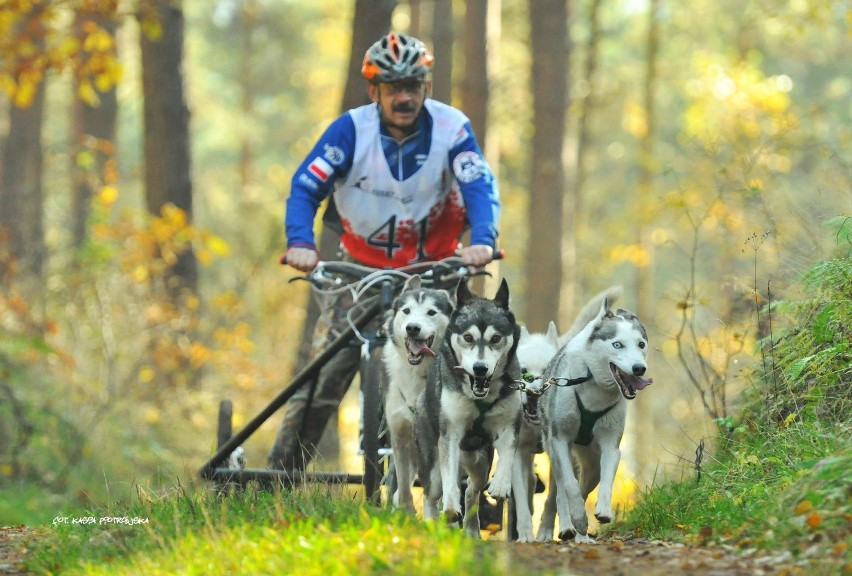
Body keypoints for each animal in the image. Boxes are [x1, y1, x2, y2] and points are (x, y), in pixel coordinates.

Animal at [384, 274, 456, 512]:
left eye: (431, 312)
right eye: (406, 310)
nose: (412, 328)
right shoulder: (399, 434)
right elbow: (403, 485)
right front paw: (405, 512)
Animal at [414, 280, 532, 540]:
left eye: (496, 338)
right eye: (468, 337)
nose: (480, 368)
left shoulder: (509, 425)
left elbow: (508, 454)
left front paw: (501, 485)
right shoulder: (450, 433)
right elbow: (449, 483)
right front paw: (450, 508)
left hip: (480, 464)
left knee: (471, 491)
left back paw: (470, 529)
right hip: (431, 460)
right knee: (432, 493)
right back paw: (433, 523)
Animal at [540, 290, 652, 544]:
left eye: (641, 344)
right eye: (617, 344)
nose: (639, 368)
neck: (593, 384)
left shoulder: (611, 444)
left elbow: (607, 479)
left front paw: (602, 511)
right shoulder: (560, 440)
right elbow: (570, 486)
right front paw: (577, 517)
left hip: (592, 466)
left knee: (586, 485)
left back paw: (579, 532)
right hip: (556, 453)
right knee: (559, 491)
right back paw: (566, 525)